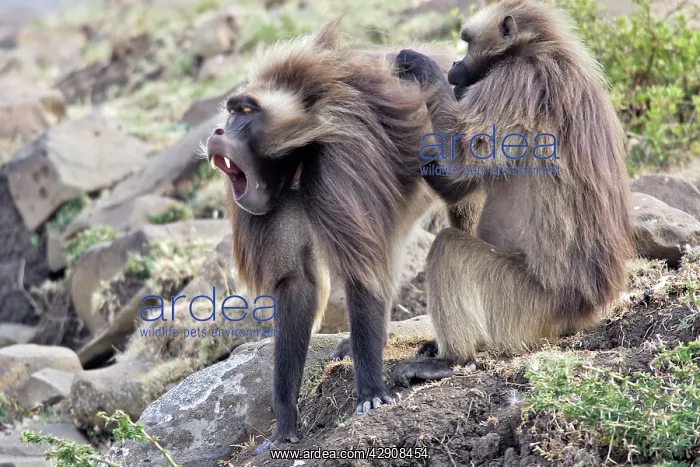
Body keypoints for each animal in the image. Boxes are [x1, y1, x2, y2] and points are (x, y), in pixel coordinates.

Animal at [203, 23, 456, 453]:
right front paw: (284, 424)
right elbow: (297, 286)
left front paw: (370, 392)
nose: (218, 130)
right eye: (233, 110)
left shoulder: (340, 159)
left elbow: (359, 271)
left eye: (246, 112)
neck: (298, 156)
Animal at [390, 0, 636, 385]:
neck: (535, 48)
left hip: (525, 306)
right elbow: (460, 184)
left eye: (466, 43)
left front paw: (419, 66)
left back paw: (452, 360)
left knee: (449, 249)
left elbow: (461, 161)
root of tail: (585, 309)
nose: (454, 66)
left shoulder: (514, 81)